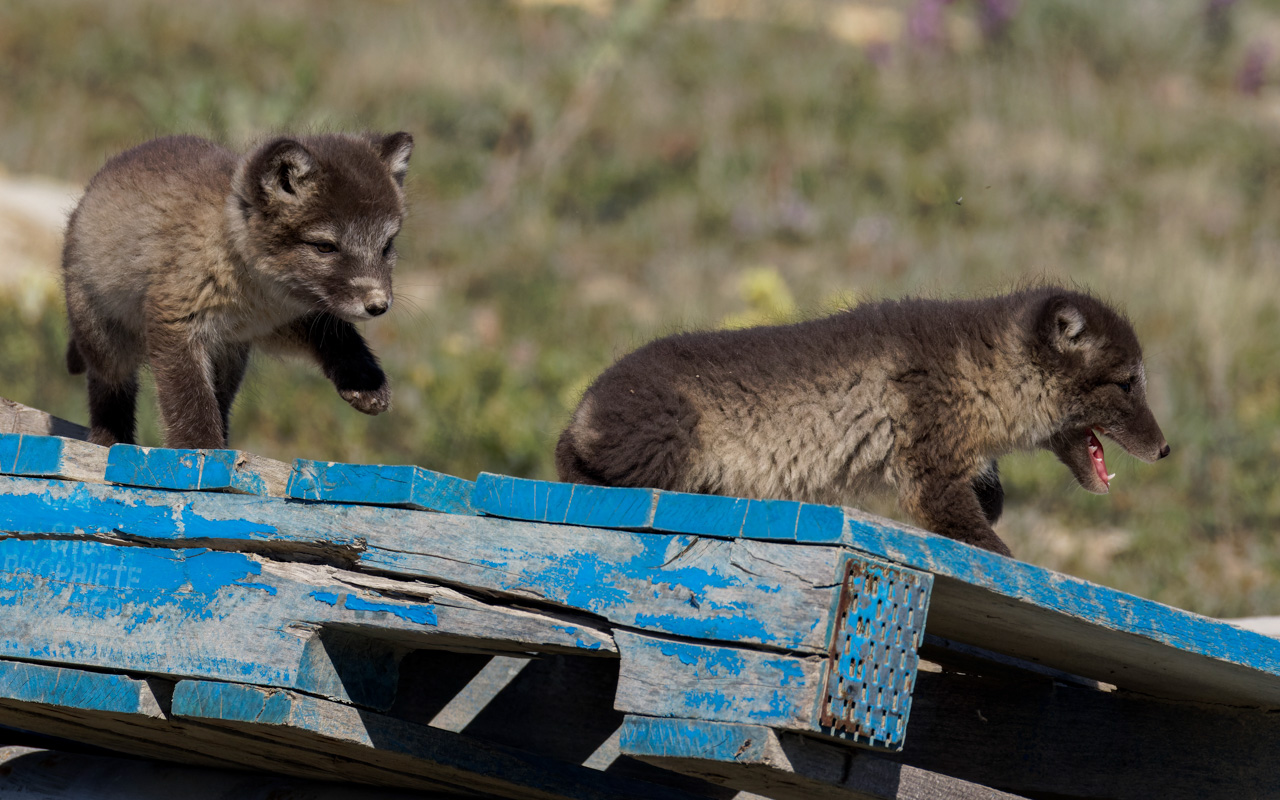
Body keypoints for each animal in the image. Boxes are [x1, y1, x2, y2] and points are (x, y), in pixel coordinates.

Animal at [61, 132, 413, 449]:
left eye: (386, 246)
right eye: (325, 247)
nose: (378, 305)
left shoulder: (276, 322)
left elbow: (339, 337)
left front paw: (365, 380)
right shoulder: (175, 320)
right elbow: (190, 403)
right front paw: (200, 452)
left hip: (229, 359)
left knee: (221, 403)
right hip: (106, 343)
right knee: (108, 381)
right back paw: (108, 439)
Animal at [556, 287, 1170, 556]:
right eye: (1127, 383)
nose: (1166, 450)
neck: (982, 368)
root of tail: (582, 406)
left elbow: (987, 496)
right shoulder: (928, 462)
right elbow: (984, 541)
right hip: (669, 440)